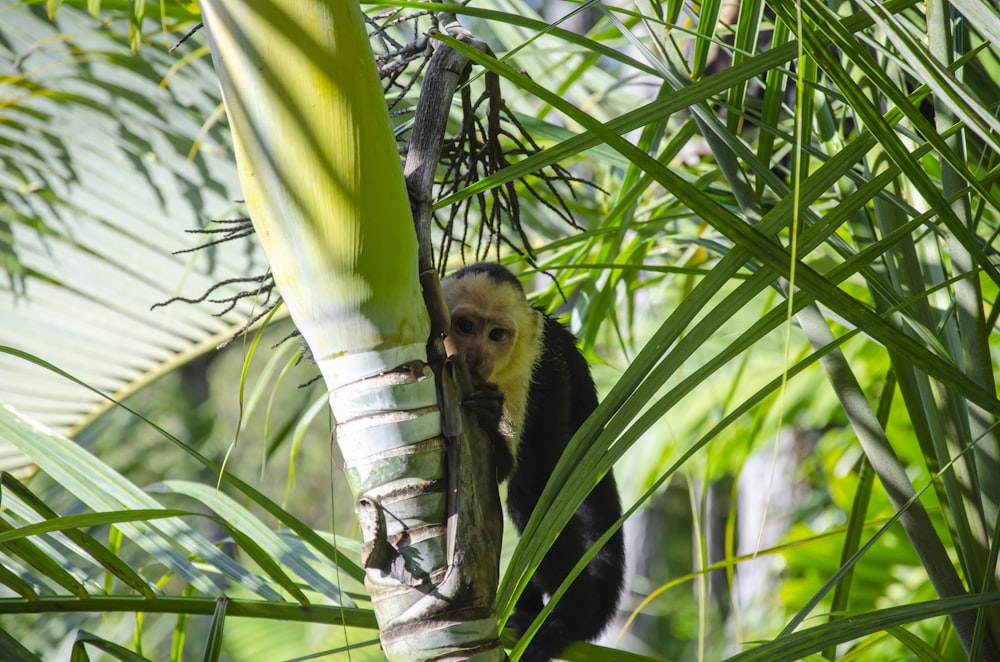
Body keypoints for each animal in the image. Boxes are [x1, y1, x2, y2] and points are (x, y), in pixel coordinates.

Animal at [440, 264, 620, 662]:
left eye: (497, 335)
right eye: (465, 327)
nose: (476, 355)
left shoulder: (539, 365)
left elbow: (512, 475)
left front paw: (490, 420)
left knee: (533, 495)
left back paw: (569, 618)